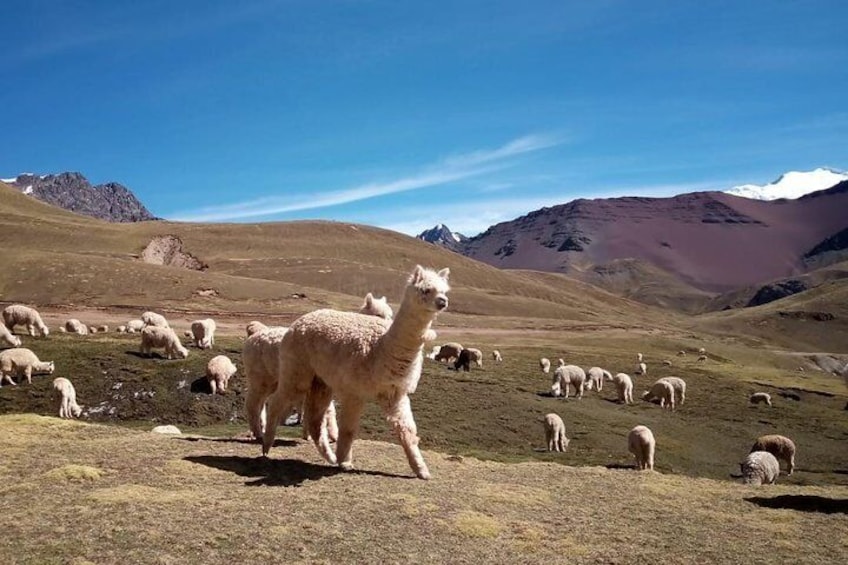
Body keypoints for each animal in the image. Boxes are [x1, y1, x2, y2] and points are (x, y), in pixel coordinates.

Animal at [262, 265, 451, 480]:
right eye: (425, 290)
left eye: (444, 291)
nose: (443, 302)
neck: (380, 349)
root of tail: (300, 320)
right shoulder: (354, 391)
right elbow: (349, 429)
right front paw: (345, 462)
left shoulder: (395, 393)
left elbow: (408, 431)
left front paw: (422, 470)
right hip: (296, 371)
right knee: (277, 401)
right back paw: (266, 447)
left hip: (321, 381)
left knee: (315, 418)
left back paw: (329, 456)